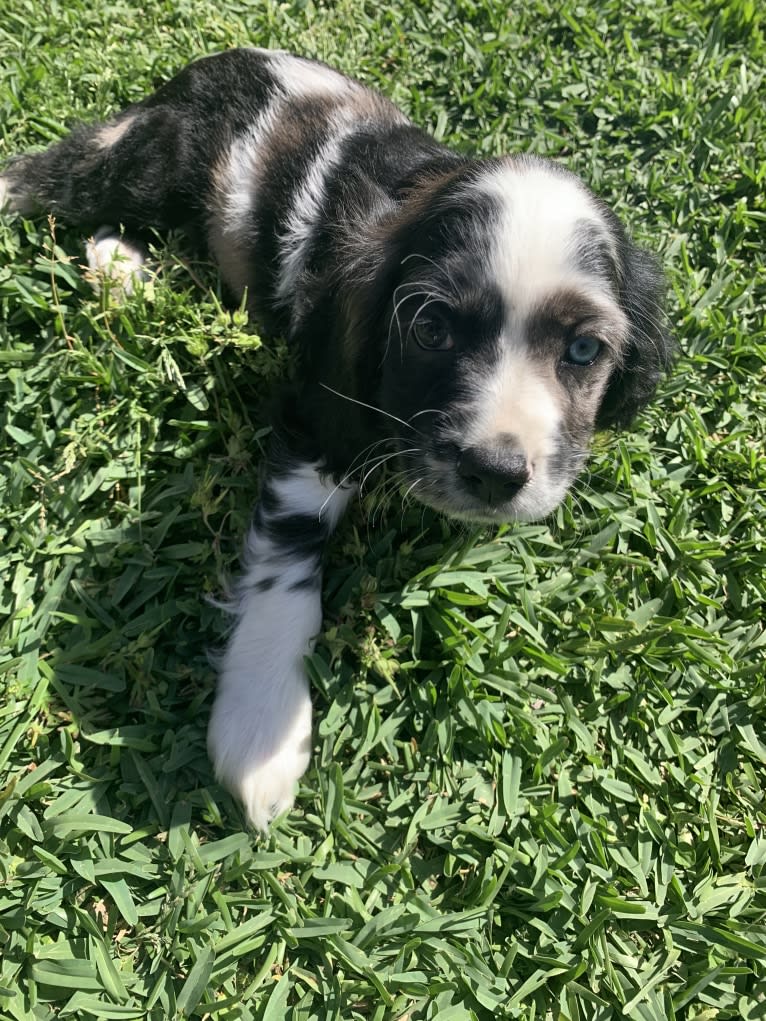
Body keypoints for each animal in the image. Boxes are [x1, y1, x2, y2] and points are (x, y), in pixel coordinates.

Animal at [0, 47, 669, 829]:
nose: (495, 472)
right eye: (430, 328)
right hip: (146, 164)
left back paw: (124, 273)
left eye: (585, 351)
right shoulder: (314, 416)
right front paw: (262, 725)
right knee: (50, 184)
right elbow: (288, 556)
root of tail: (208, 64)